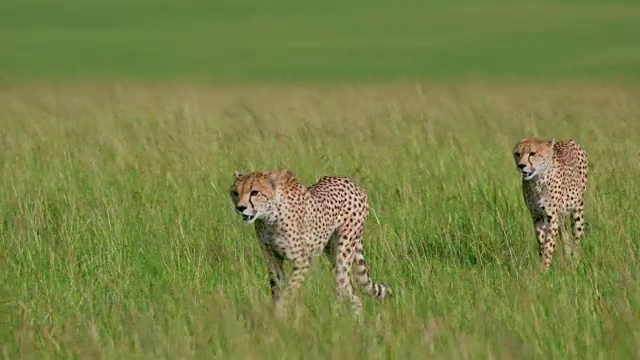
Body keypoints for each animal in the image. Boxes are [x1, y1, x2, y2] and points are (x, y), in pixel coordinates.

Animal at [230, 169, 390, 316]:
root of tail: (350, 182)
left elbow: (288, 291)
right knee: (353, 295)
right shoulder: (273, 259)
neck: (268, 217)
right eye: (235, 193)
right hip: (331, 250)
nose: (240, 208)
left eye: (254, 192)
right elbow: (277, 288)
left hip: (344, 252)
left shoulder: (302, 262)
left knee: (343, 286)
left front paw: (280, 313)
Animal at [516, 136, 592, 272]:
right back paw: (567, 257)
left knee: (576, 238)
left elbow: (549, 244)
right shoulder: (537, 217)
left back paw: (574, 262)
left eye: (532, 153)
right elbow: (542, 242)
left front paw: (544, 268)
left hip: (577, 209)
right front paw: (543, 263)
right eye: (517, 154)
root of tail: (571, 141)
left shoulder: (552, 217)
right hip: (561, 216)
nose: (521, 165)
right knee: (565, 235)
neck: (537, 180)